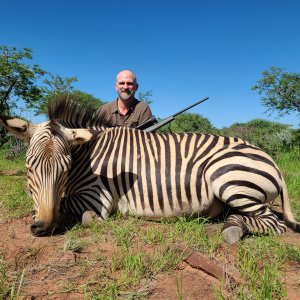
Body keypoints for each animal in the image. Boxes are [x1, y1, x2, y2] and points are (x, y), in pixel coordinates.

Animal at [0, 99, 298, 244]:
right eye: (29, 167)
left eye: (65, 168)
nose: (43, 227)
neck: (87, 155)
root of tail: (272, 161)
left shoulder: (97, 198)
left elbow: (71, 208)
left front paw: (89, 220)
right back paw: (232, 222)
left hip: (228, 179)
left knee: (274, 223)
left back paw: (234, 229)